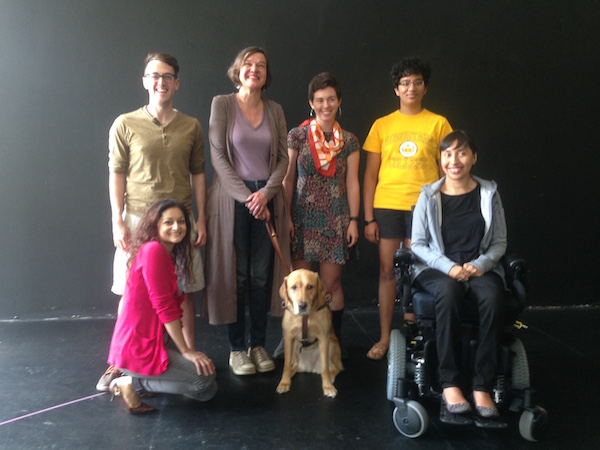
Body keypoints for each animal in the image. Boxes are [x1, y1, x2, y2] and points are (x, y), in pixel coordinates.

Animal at [276, 268, 342, 396]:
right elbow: (286, 365)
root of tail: (311, 367)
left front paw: (327, 386)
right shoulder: (289, 337)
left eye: (310, 286)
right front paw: (284, 382)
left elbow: (325, 369)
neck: (304, 316)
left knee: (336, 367)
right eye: (294, 287)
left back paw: (331, 376)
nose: (302, 305)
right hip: (295, 347)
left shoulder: (324, 337)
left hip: (332, 344)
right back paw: (291, 373)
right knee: (294, 365)